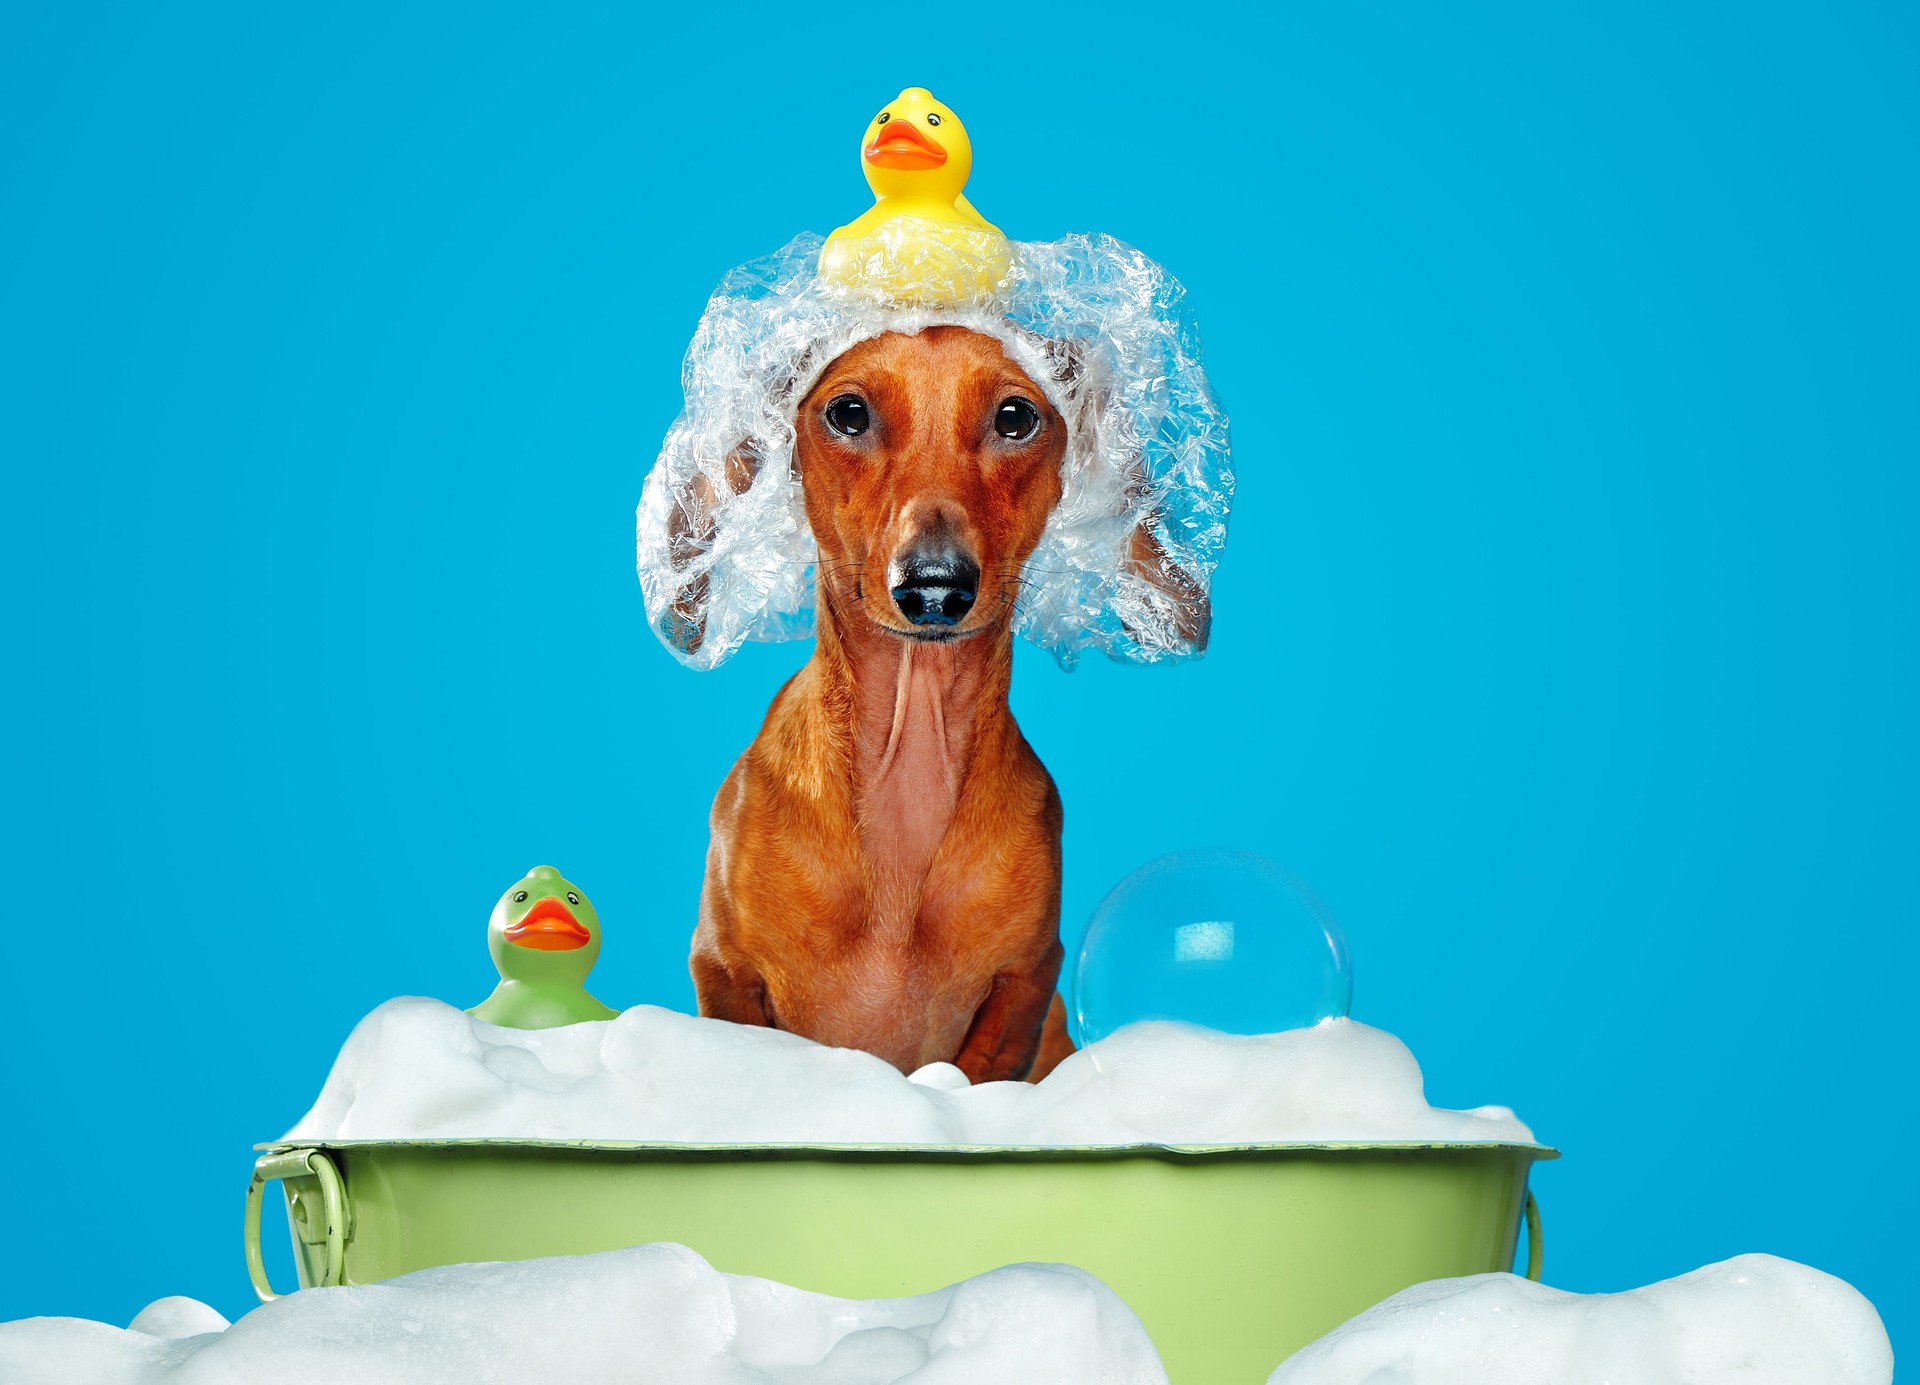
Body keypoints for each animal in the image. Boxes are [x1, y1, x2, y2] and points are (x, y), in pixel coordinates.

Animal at [683, 324, 1205, 1083]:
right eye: (848, 413)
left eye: (1015, 417)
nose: (933, 585)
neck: (909, 767)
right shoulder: (722, 972)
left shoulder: (1025, 984)